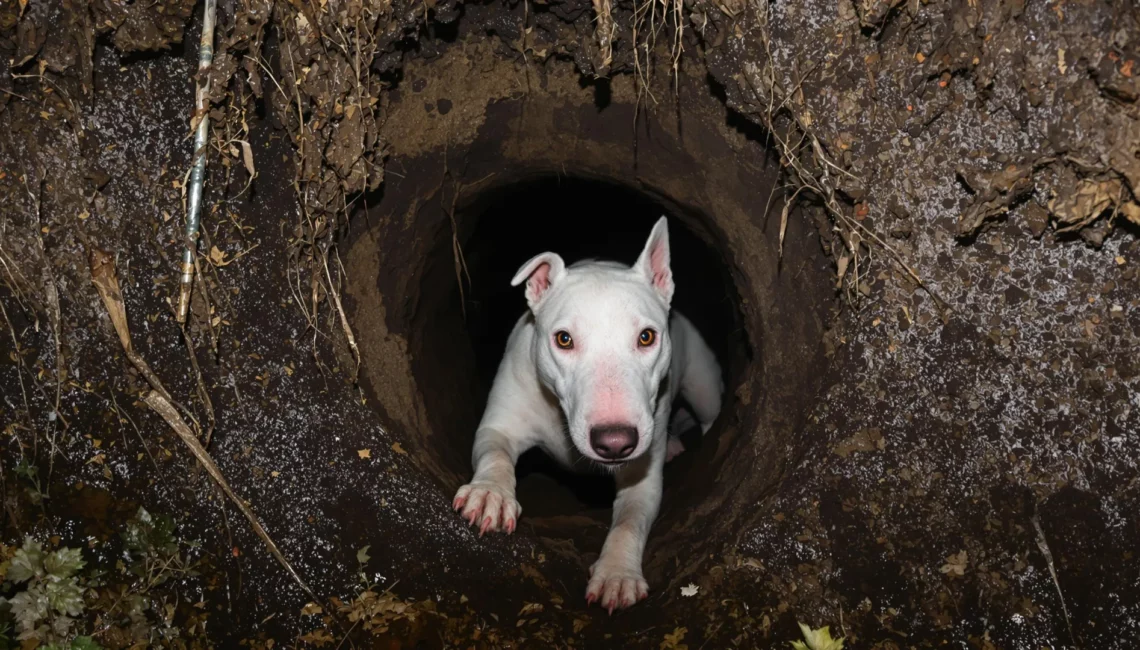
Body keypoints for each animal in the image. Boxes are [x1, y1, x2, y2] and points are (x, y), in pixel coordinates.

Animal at [451, 217, 720, 611]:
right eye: (563, 339)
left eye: (646, 337)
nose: (615, 442)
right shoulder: (501, 423)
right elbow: (495, 452)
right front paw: (490, 495)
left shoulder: (642, 478)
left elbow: (629, 521)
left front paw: (617, 574)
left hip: (703, 387)